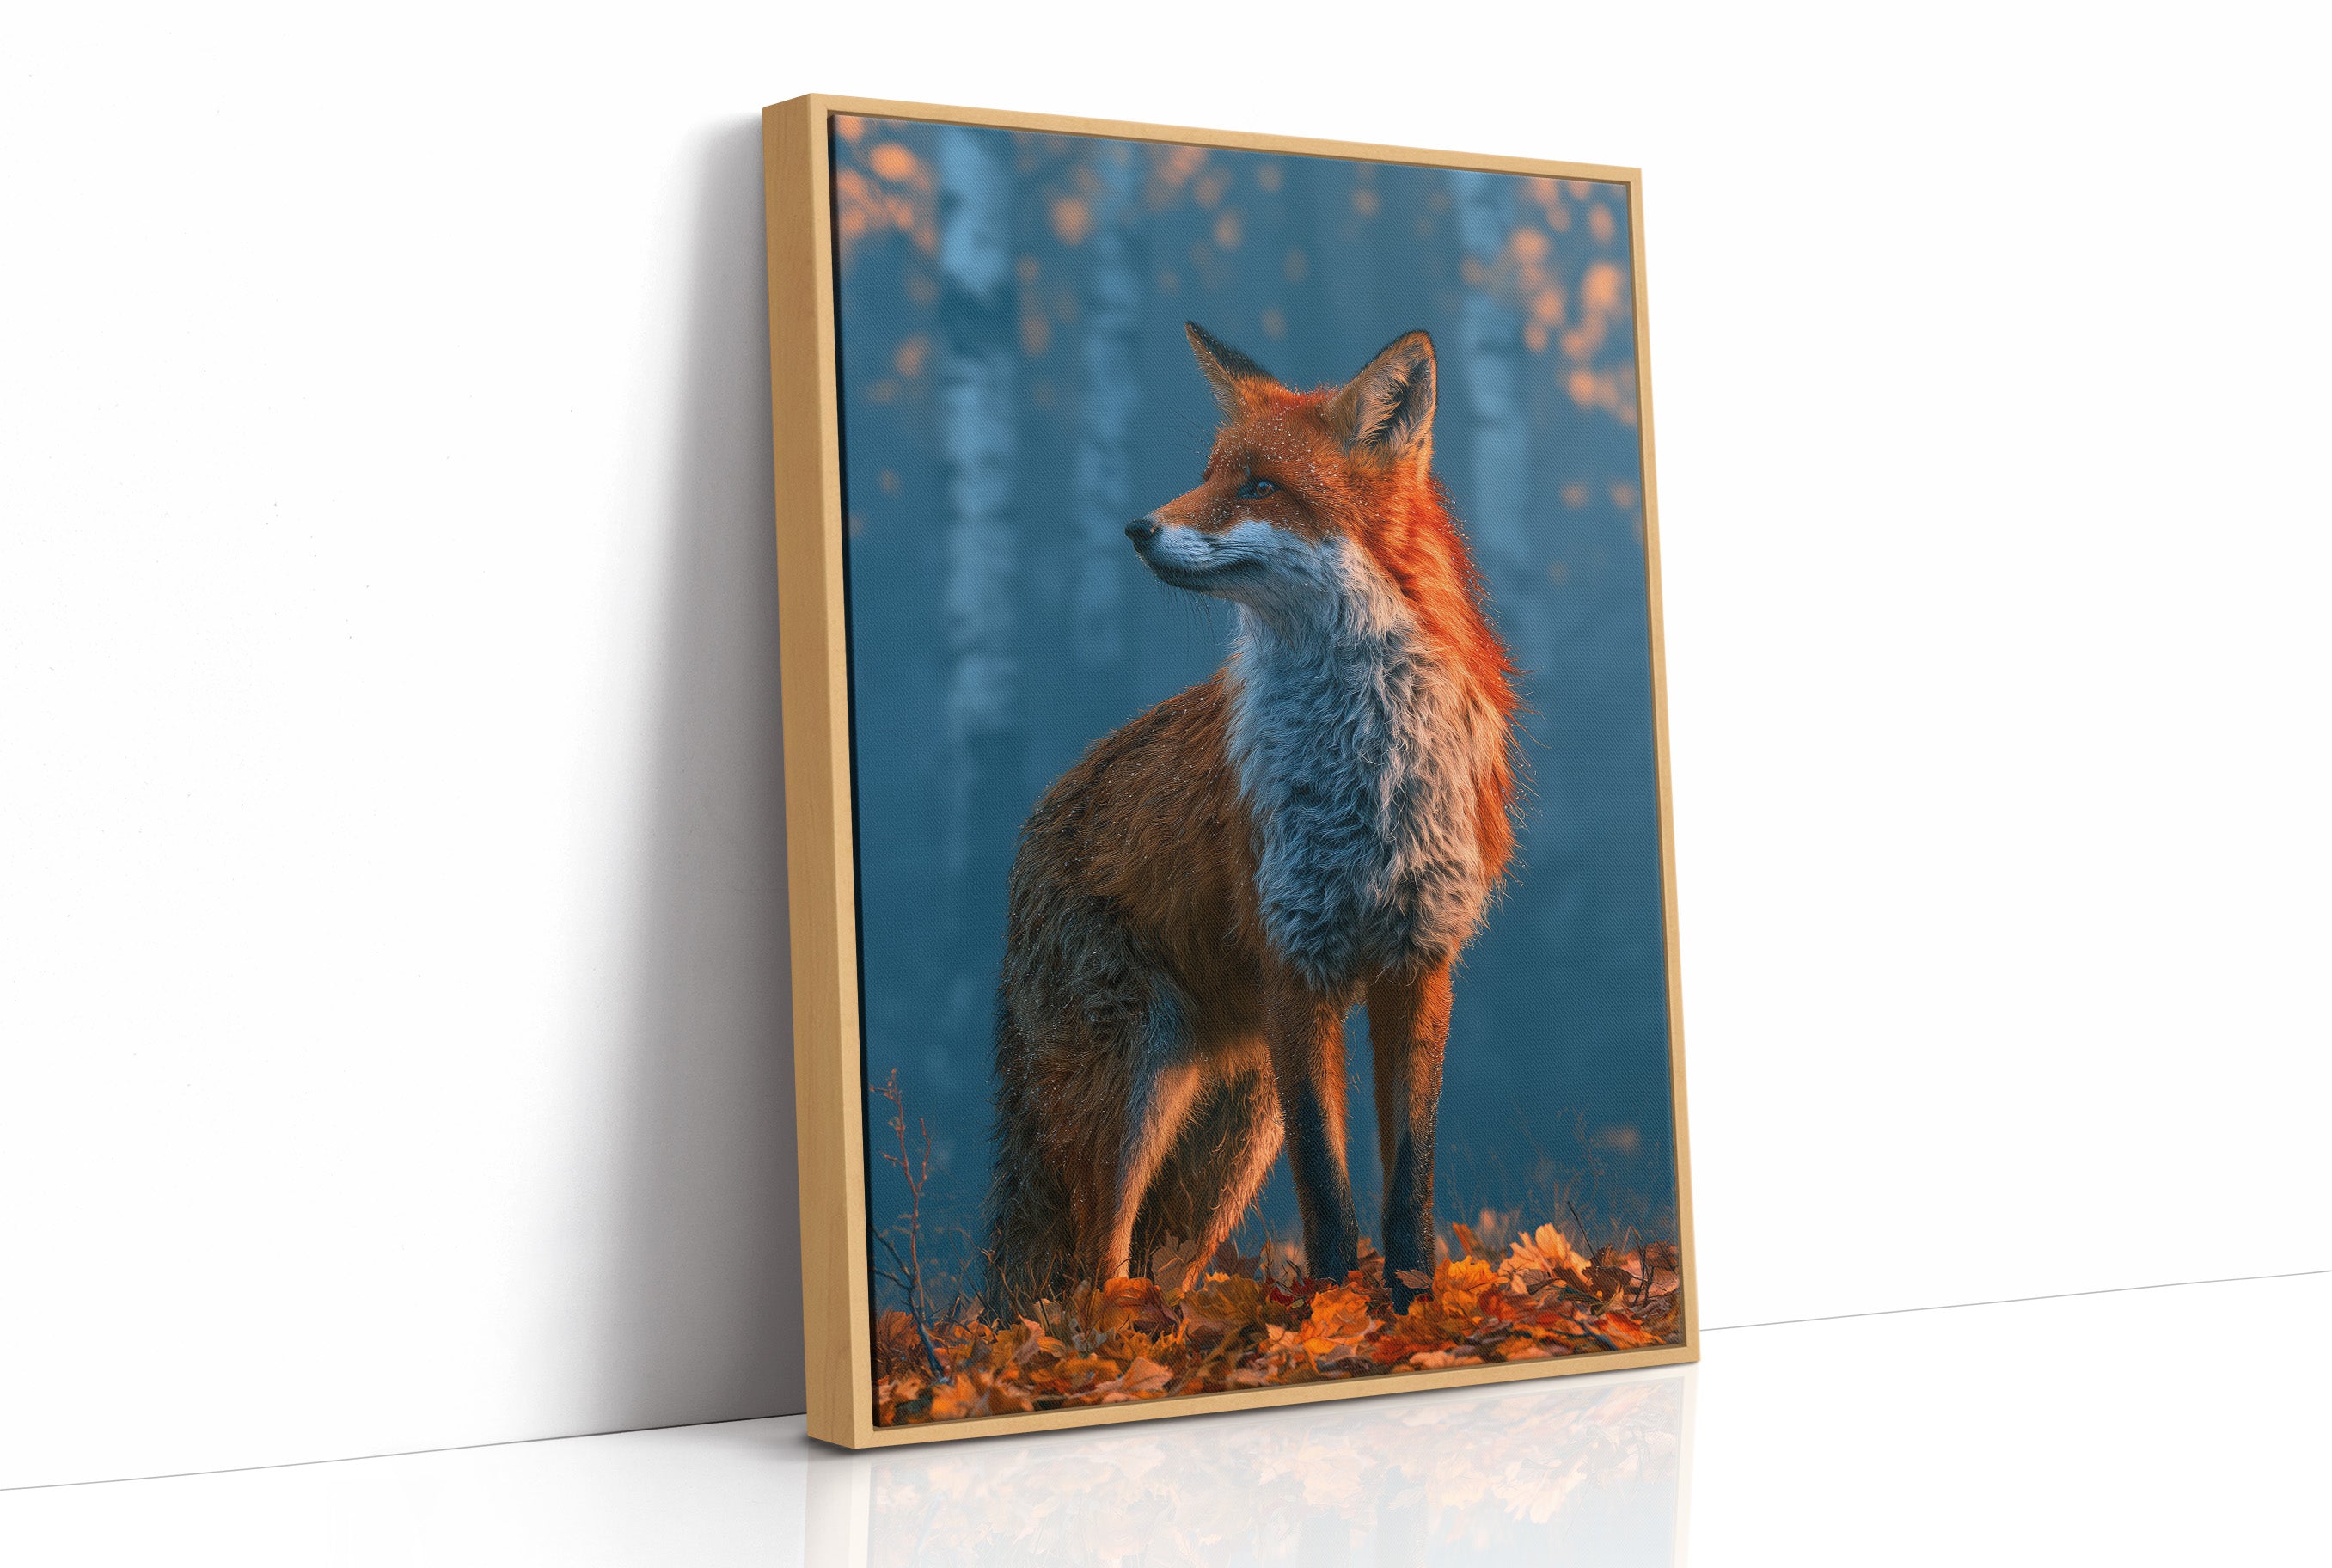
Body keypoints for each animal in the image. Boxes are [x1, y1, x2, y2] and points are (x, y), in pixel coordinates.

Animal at [982, 322, 1520, 1314]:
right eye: (1208, 474)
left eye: (1259, 486)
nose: (1136, 528)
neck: (1359, 773)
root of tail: (1039, 815)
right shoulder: (1294, 965)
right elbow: (1327, 1194)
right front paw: (1334, 1321)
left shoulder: (1418, 960)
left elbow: (1408, 1185)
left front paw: (1410, 1314)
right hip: (1129, 1096)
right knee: (1092, 1270)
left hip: (1229, 1140)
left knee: (1154, 1265)